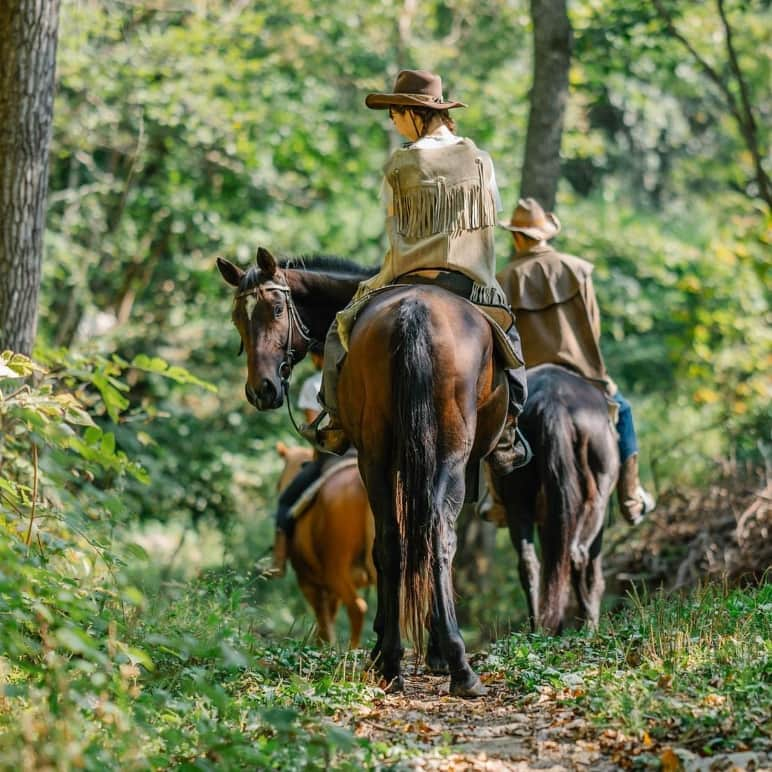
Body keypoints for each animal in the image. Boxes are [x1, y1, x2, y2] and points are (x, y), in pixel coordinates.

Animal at [276, 444, 376, 648]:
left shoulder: (308, 581)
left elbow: (323, 618)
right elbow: (330, 614)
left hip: (334, 570)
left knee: (358, 609)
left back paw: (350, 651)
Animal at [494, 364, 620, 636]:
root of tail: (551, 401)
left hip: (518, 499)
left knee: (530, 563)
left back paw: (539, 628)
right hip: (597, 499)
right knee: (578, 555)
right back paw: (587, 624)